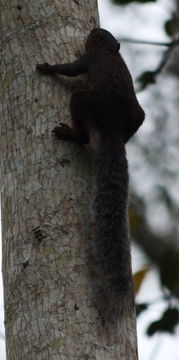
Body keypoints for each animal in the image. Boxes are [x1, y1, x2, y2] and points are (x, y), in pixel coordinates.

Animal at [36, 28, 144, 318]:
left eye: (98, 34)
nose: (93, 30)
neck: (108, 50)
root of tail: (113, 130)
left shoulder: (88, 59)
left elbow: (72, 69)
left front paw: (47, 68)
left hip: (85, 99)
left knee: (82, 126)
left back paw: (70, 134)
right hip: (137, 116)